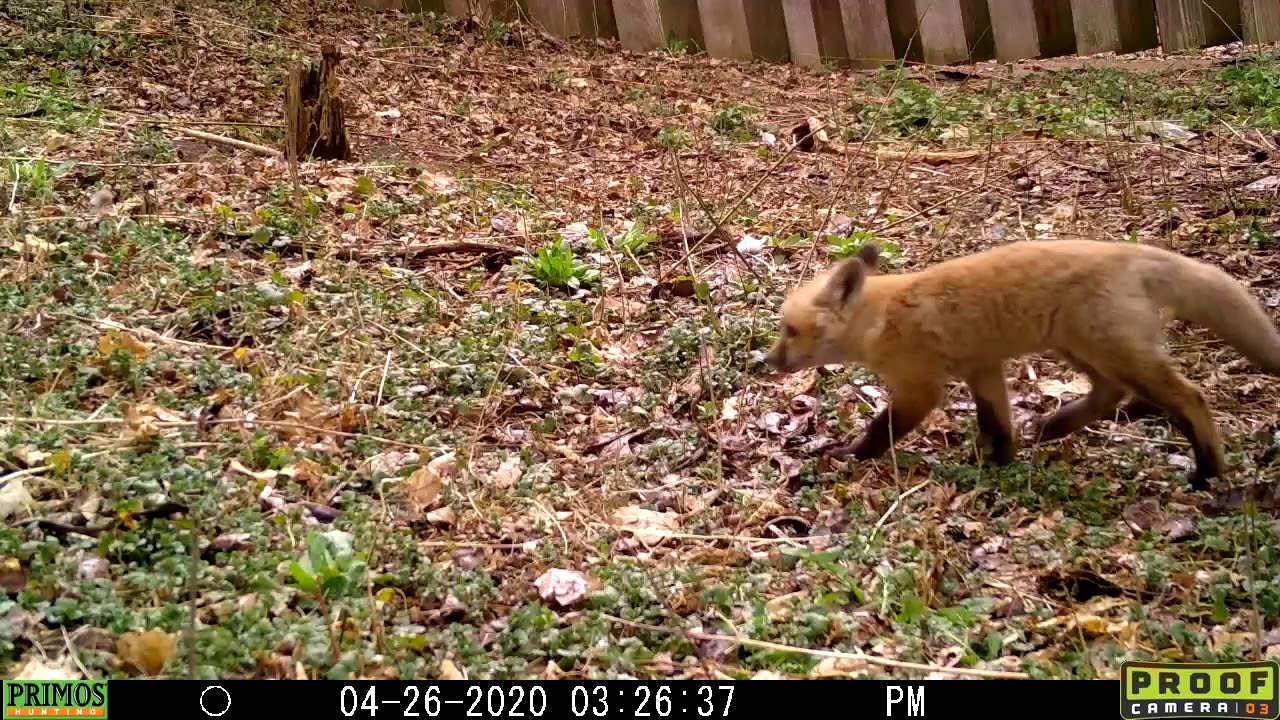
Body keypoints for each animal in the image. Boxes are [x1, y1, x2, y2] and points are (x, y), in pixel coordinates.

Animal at [764, 239, 1280, 491]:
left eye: (789, 330)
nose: (767, 361)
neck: (883, 316)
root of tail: (1130, 252)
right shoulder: (982, 367)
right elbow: (997, 425)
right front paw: (999, 465)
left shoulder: (920, 386)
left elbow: (880, 431)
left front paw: (848, 455)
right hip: (1081, 350)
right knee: (1109, 393)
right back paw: (1054, 425)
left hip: (1115, 353)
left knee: (1190, 399)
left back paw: (1209, 473)